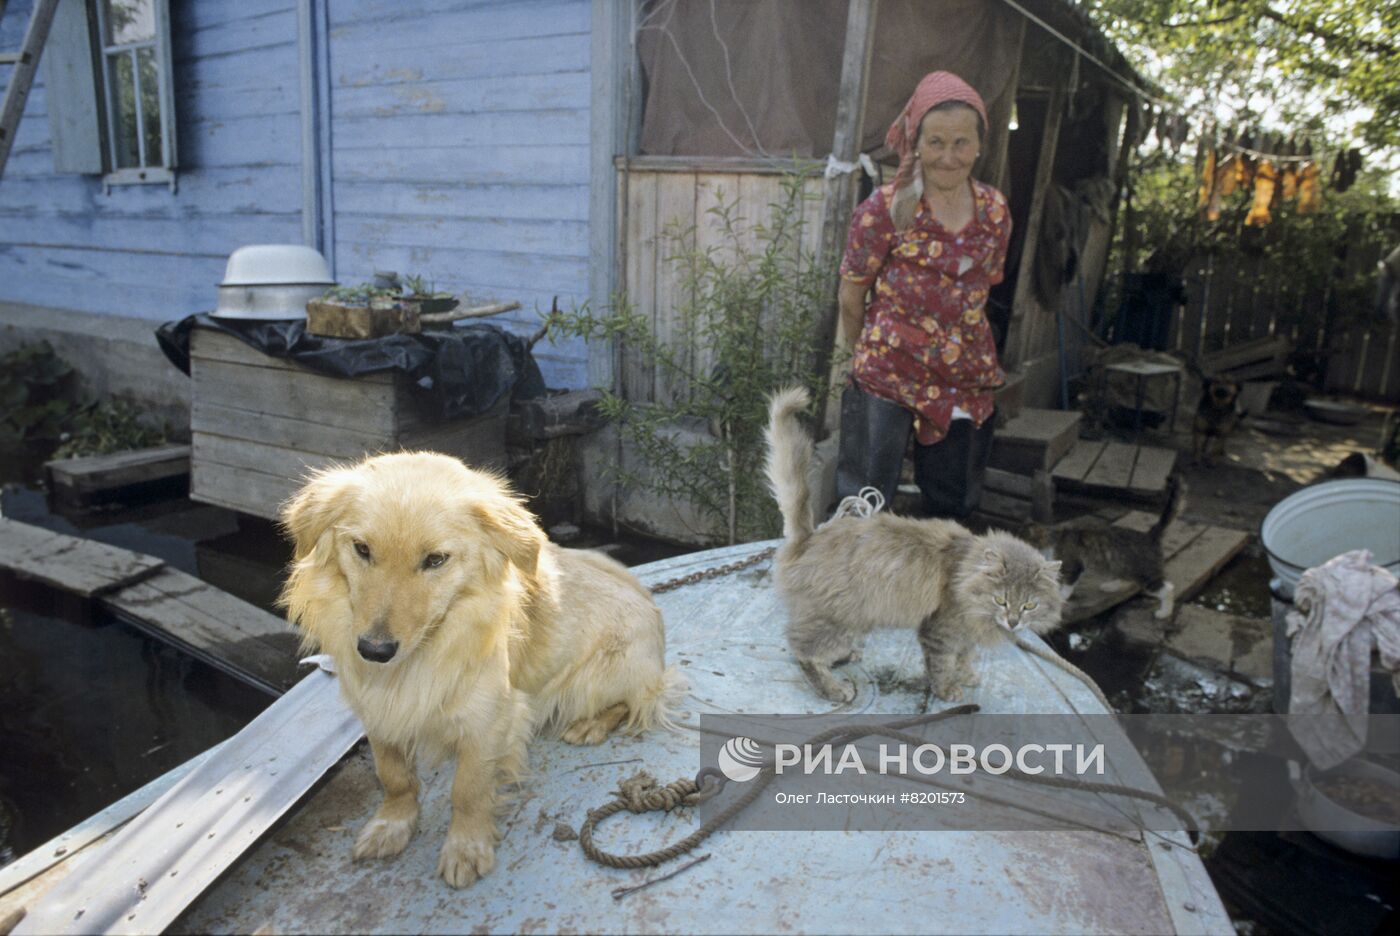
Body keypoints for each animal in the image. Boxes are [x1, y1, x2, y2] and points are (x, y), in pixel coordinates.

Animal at [275, 447, 680, 889]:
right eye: (362, 549)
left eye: (435, 560)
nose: (374, 650)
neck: (424, 654)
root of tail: (653, 609)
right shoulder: (377, 713)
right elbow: (394, 775)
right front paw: (392, 825)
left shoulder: (487, 723)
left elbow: (467, 791)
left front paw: (466, 848)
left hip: (597, 677)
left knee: (636, 701)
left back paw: (591, 724)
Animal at [767, 386, 1058, 699]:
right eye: (1001, 600)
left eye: (1030, 605)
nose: (1013, 622)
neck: (965, 575)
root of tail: (809, 537)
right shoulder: (940, 631)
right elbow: (942, 665)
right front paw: (947, 690)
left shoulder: (966, 634)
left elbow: (965, 656)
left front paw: (967, 675)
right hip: (839, 619)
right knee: (804, 651)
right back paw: (833, 688)